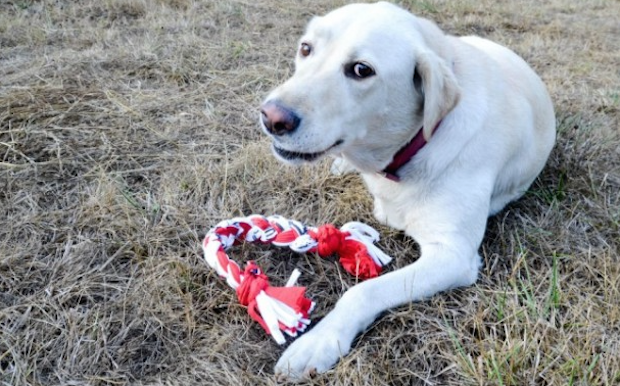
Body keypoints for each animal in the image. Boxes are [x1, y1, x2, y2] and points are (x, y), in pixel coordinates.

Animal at [260, 0, 556, 380]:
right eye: (306, 48)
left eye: (361, 70)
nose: (271, 117)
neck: (413, 145)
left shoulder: (453, 255)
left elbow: (364, 292)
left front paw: (319, 340)